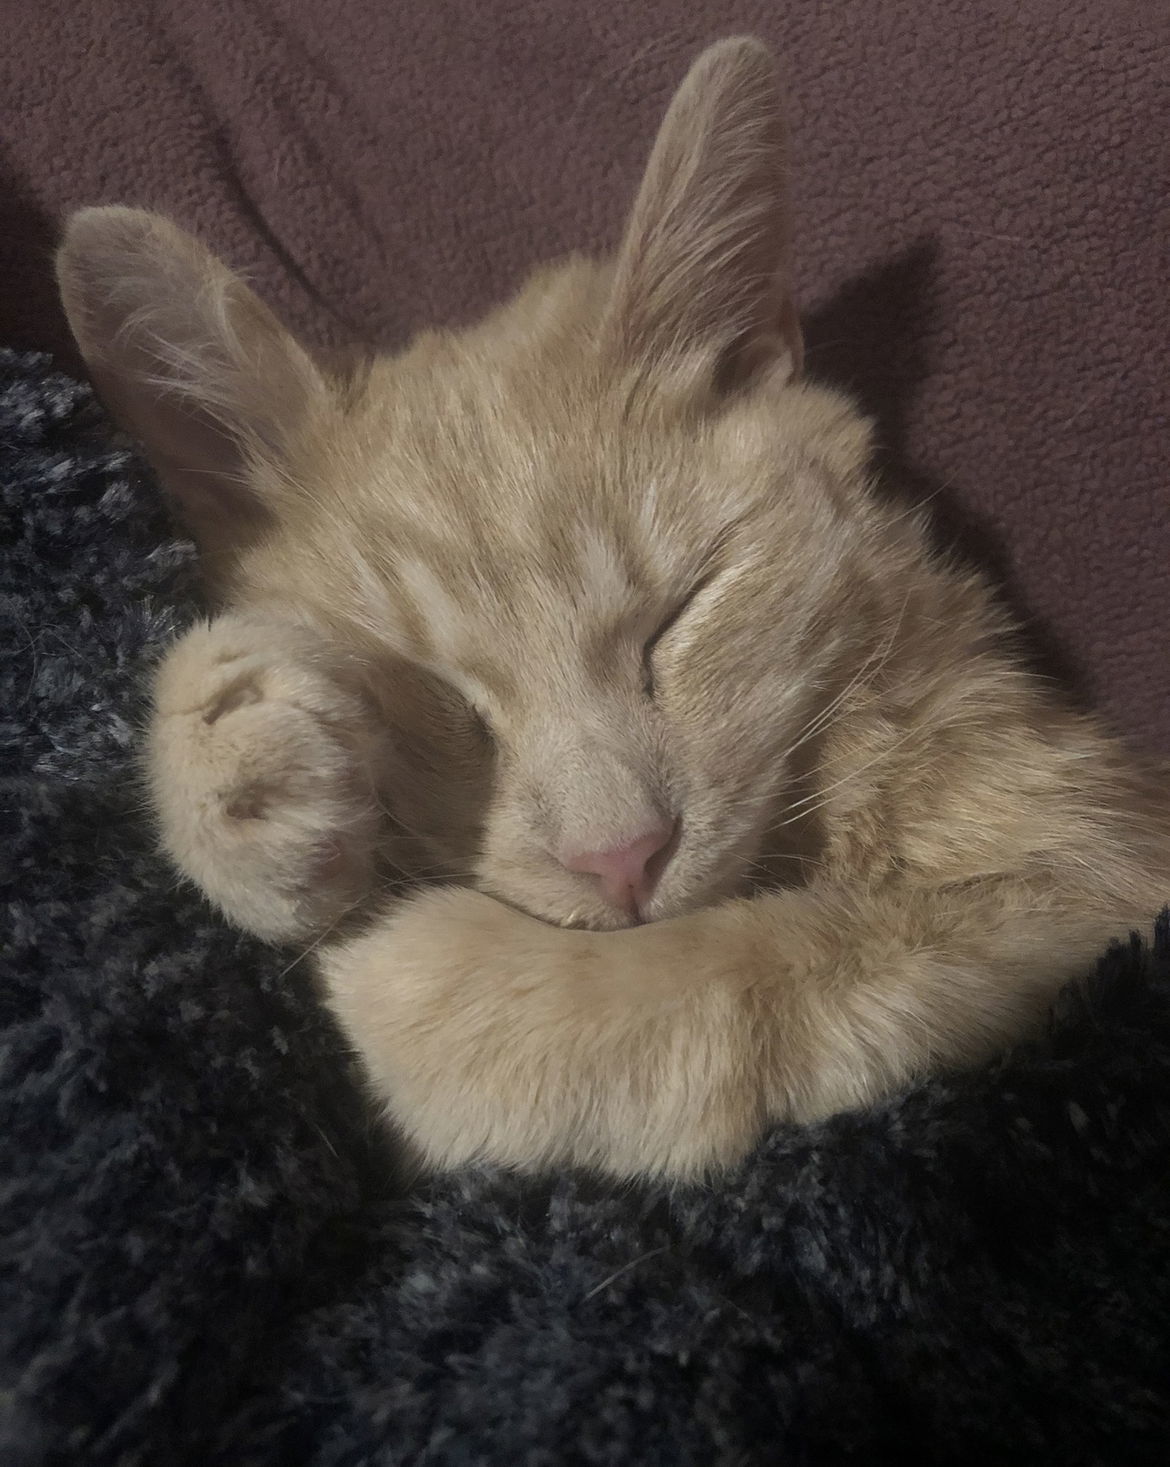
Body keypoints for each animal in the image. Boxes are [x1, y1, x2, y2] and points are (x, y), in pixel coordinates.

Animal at [52, 37, 1170, 1179]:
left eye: (678, 617)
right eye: (442, 700)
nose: (621, 857)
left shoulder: (1094, 879)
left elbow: (757, 972)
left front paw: (438, 988)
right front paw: (230, 771)